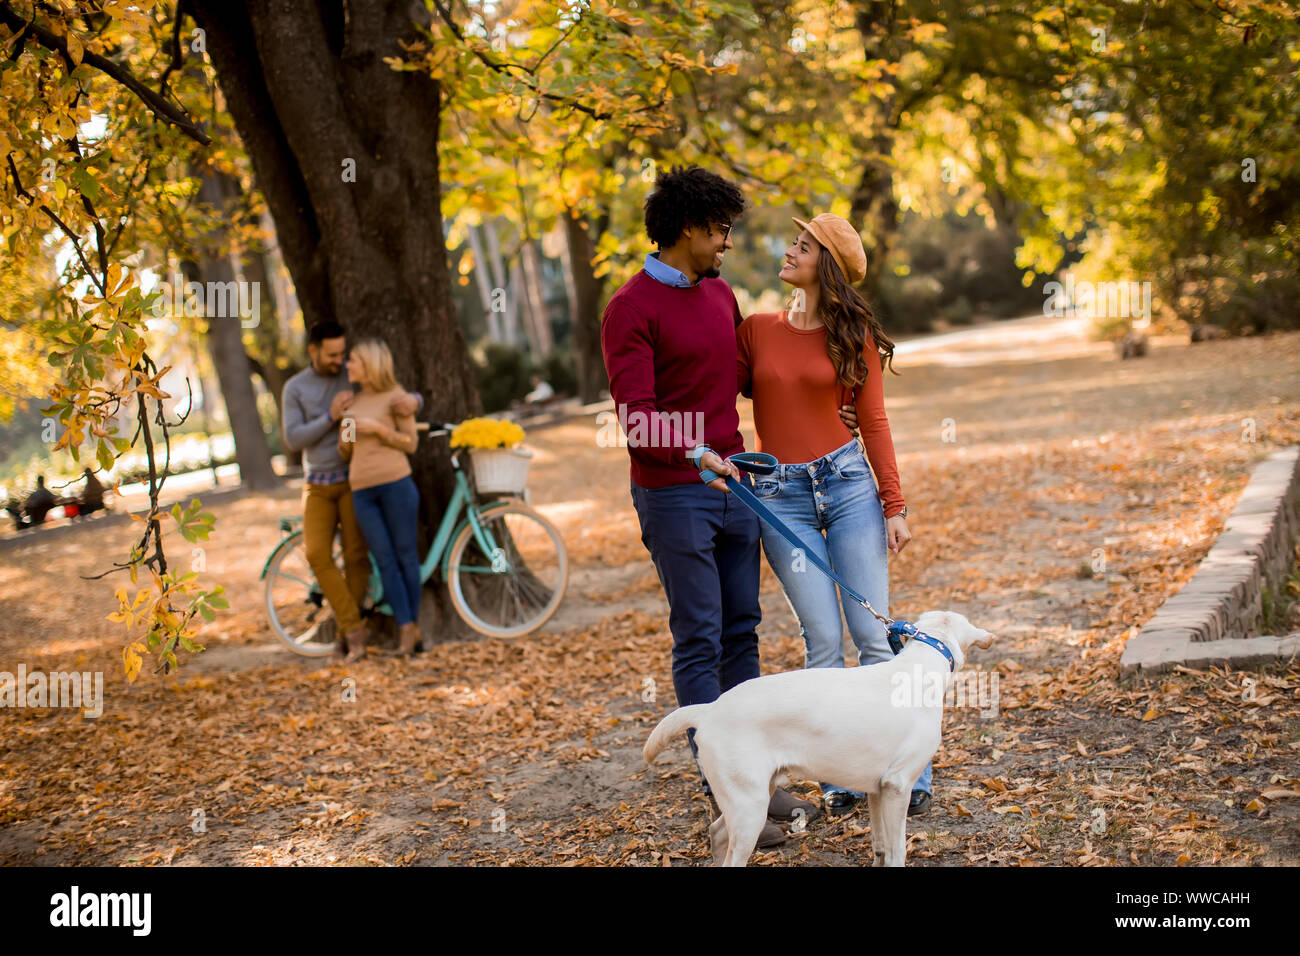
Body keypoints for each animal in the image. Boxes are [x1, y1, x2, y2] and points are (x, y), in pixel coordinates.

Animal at [647, 613, 993, 868]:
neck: (916, 671)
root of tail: (709, 708)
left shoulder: (877, 791)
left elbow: (880, 845)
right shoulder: (897, 787)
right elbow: (897, 850)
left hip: (755, 795)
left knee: (717, 833)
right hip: (750, 809)